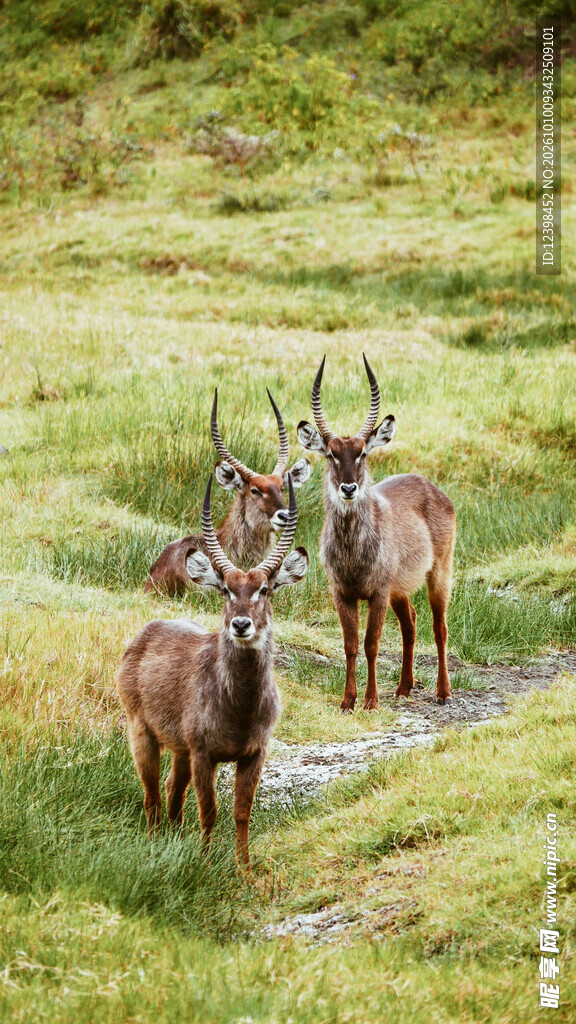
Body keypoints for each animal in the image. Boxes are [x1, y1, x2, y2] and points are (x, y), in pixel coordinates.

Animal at [118, 472, 309, 871]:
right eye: (225, 589)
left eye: (264, 589)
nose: (241, 624)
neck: (241, 708)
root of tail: (148, 630)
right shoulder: (204, 752)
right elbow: (209, 811)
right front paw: (205, 866)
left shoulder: (254, 753)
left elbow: (241, 812)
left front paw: (244, 870)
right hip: (141, 731)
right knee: (152, 795)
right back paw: (155, 844)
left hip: (179, 749)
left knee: (173, 793)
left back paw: (172, 840)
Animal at [297, 354, 456, 712]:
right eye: (331, 454)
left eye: (363, 453)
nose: (348, 488)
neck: (353, 554)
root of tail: (430, 485)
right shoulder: (342, 592)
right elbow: (350, 644)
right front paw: (347, 700)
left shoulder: (379, 592)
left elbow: (372, 643)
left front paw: (370, 700)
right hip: (401, 588)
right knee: (410, 622)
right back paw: (403, 688)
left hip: (439, 571)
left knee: (439, 626)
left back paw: (443, 691)